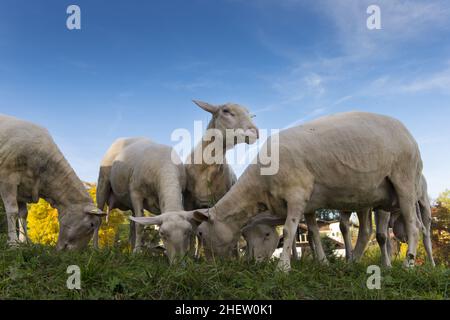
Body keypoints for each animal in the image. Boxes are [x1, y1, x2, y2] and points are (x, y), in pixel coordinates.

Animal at [0, 115, 104, 250]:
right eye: (91, 225)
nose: (76, 252)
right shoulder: (8, 179)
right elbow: (13, 212)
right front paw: (13, 243)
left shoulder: (22, 189)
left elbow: (23, 214)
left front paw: (25, 242)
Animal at [191, 111, 426, 272]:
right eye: (245, 237)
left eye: (201, 233)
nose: (211, 266)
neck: (260, 185)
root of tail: (409, 134)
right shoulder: (310, 203)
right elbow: (313, 233)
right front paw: (323, 263)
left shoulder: (297, 194)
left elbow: (288, 231)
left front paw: (283, 269)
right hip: (369, 195)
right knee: (367, 231)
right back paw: (351, 264)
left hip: (404, 180)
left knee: (414, 226)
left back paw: (408, 265)